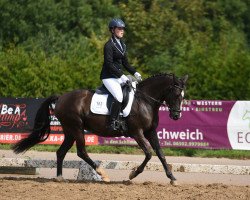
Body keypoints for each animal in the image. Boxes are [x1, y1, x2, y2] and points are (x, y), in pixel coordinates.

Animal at [11, 72, 188, 185]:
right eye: (176, 95)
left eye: (183, 96)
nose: (176, 116)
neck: (145, 101)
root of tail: (61, 97)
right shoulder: (137, 133)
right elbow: (149, 153)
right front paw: (132, 174)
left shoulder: (150, 132)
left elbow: (160, 154)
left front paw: (172, 178)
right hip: (76, 128)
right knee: (81, 151)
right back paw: (103, 174)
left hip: (70, 131)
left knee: (61, 152)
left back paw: (60, 177)